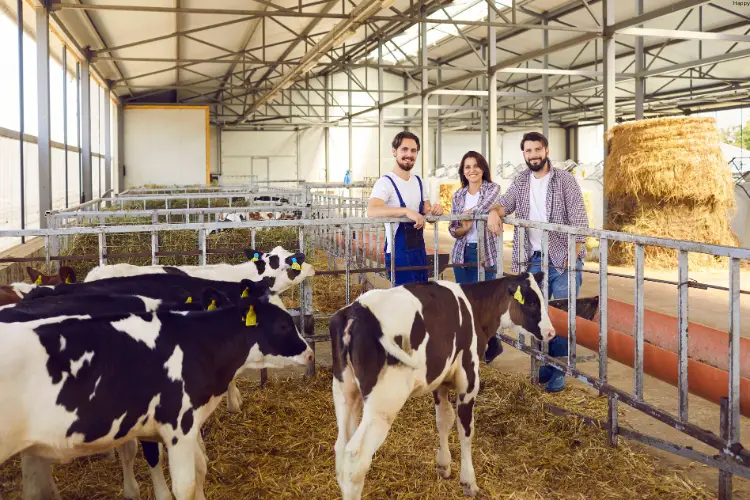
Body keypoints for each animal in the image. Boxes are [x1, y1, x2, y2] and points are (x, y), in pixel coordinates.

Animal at [330, 274, 560, 500]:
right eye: (531, 302)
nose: (551, 332)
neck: (474, 309)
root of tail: (356, 311)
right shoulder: (469, 380)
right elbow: (466, 429)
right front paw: (468, 481)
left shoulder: (440, 382)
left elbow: (444, 420)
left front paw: (443, 465)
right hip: (383, 403)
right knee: (355, 456)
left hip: (345, 392)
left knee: (341, 447)